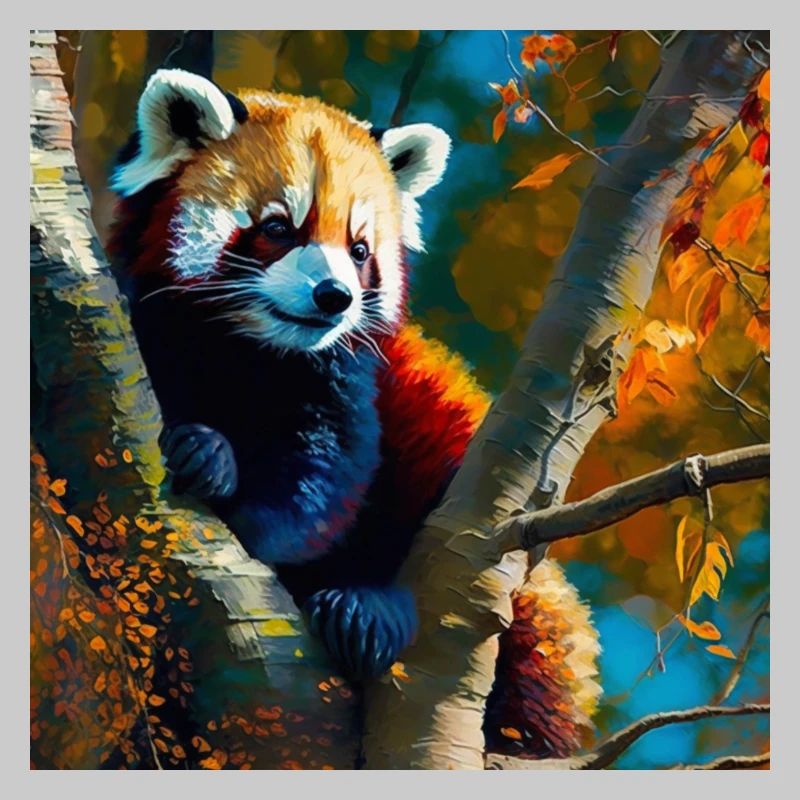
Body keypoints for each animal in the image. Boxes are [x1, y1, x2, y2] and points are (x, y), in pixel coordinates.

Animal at [108, 69, 601, 758]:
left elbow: (321, 490)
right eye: (278, 228)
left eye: (360, 249)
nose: (333, 296)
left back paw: (371, 611)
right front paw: (207, 452)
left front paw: (236, 497)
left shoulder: (348, 382)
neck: (247, 350)